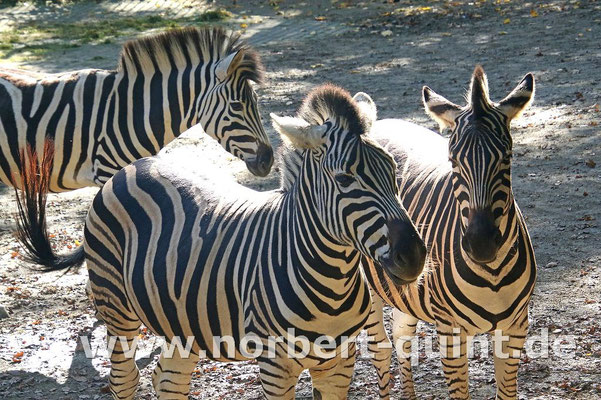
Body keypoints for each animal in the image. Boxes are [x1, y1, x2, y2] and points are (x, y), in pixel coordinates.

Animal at [21, 83, 426, 396]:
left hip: (179, 320)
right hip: (116, 308)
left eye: (393, 169)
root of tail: (134, 166)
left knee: (168, 378)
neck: (332, 278)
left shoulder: (339, 364)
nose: (414, 255)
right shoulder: (276, 367)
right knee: (126, 379)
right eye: (344, 179)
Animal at [358, 66, 536, 400]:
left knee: (401, 339)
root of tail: (375, 125)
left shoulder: (515, 328)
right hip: (370, 291)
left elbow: (507, 391)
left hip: (407, 290)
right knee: (380, 350)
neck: (492, 273)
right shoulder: (450, 332)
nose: (480, 245)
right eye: (453, 160)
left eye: (506, 158)